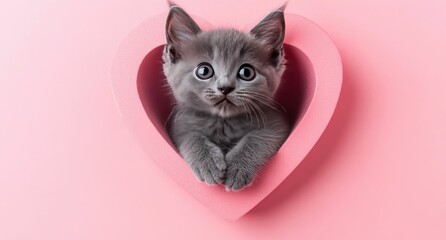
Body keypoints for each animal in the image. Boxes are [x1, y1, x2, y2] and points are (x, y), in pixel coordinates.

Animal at [163, 2, 290, 191]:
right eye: (204, 71)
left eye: (246, 72)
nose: (225, 87)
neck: (223, 121)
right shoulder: (179, 124)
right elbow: (190, 136)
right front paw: (207, 163)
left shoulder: (276, 123)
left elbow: (258, 137)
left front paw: (237, 168)